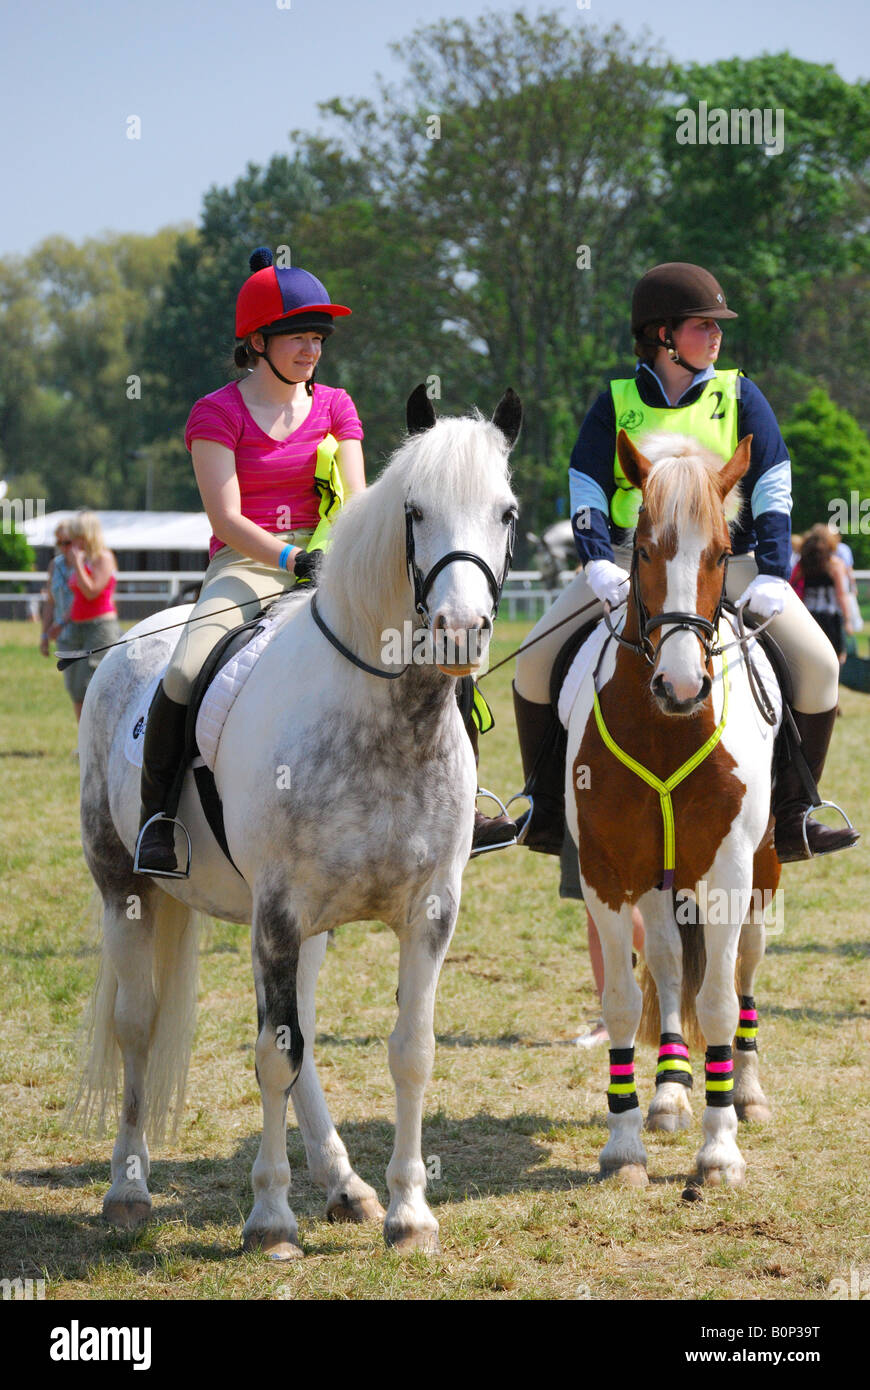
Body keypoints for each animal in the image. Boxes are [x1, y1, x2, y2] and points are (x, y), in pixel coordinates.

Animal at [71, 386, 521, 1258]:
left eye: (508, 511)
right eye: (414, 510)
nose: (459, 629)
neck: (387, 723)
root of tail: (126, 647)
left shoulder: (428, 910)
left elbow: (409, 1053)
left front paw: (410, 1214)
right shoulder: (276, 913)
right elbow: (271, 1058)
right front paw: (271, 1220)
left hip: (308, 926)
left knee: (301, 1032)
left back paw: (346, 1186)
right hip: (128, 889)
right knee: (140, 1026)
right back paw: (129, 1189)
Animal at [563, 429, 781, 1188]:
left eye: (719, 552)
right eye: (646, 549)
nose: (682, 686)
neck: (665, 730)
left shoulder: (728, 873)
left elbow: (717, 999)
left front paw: (719, 1152)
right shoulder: (605, 871)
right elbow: (626, 998)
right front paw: (624, 1143)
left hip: (762, 873)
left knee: (744, 969)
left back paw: (745, 1090)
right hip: (658, 879)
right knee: (663, 961)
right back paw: (668, 1093)